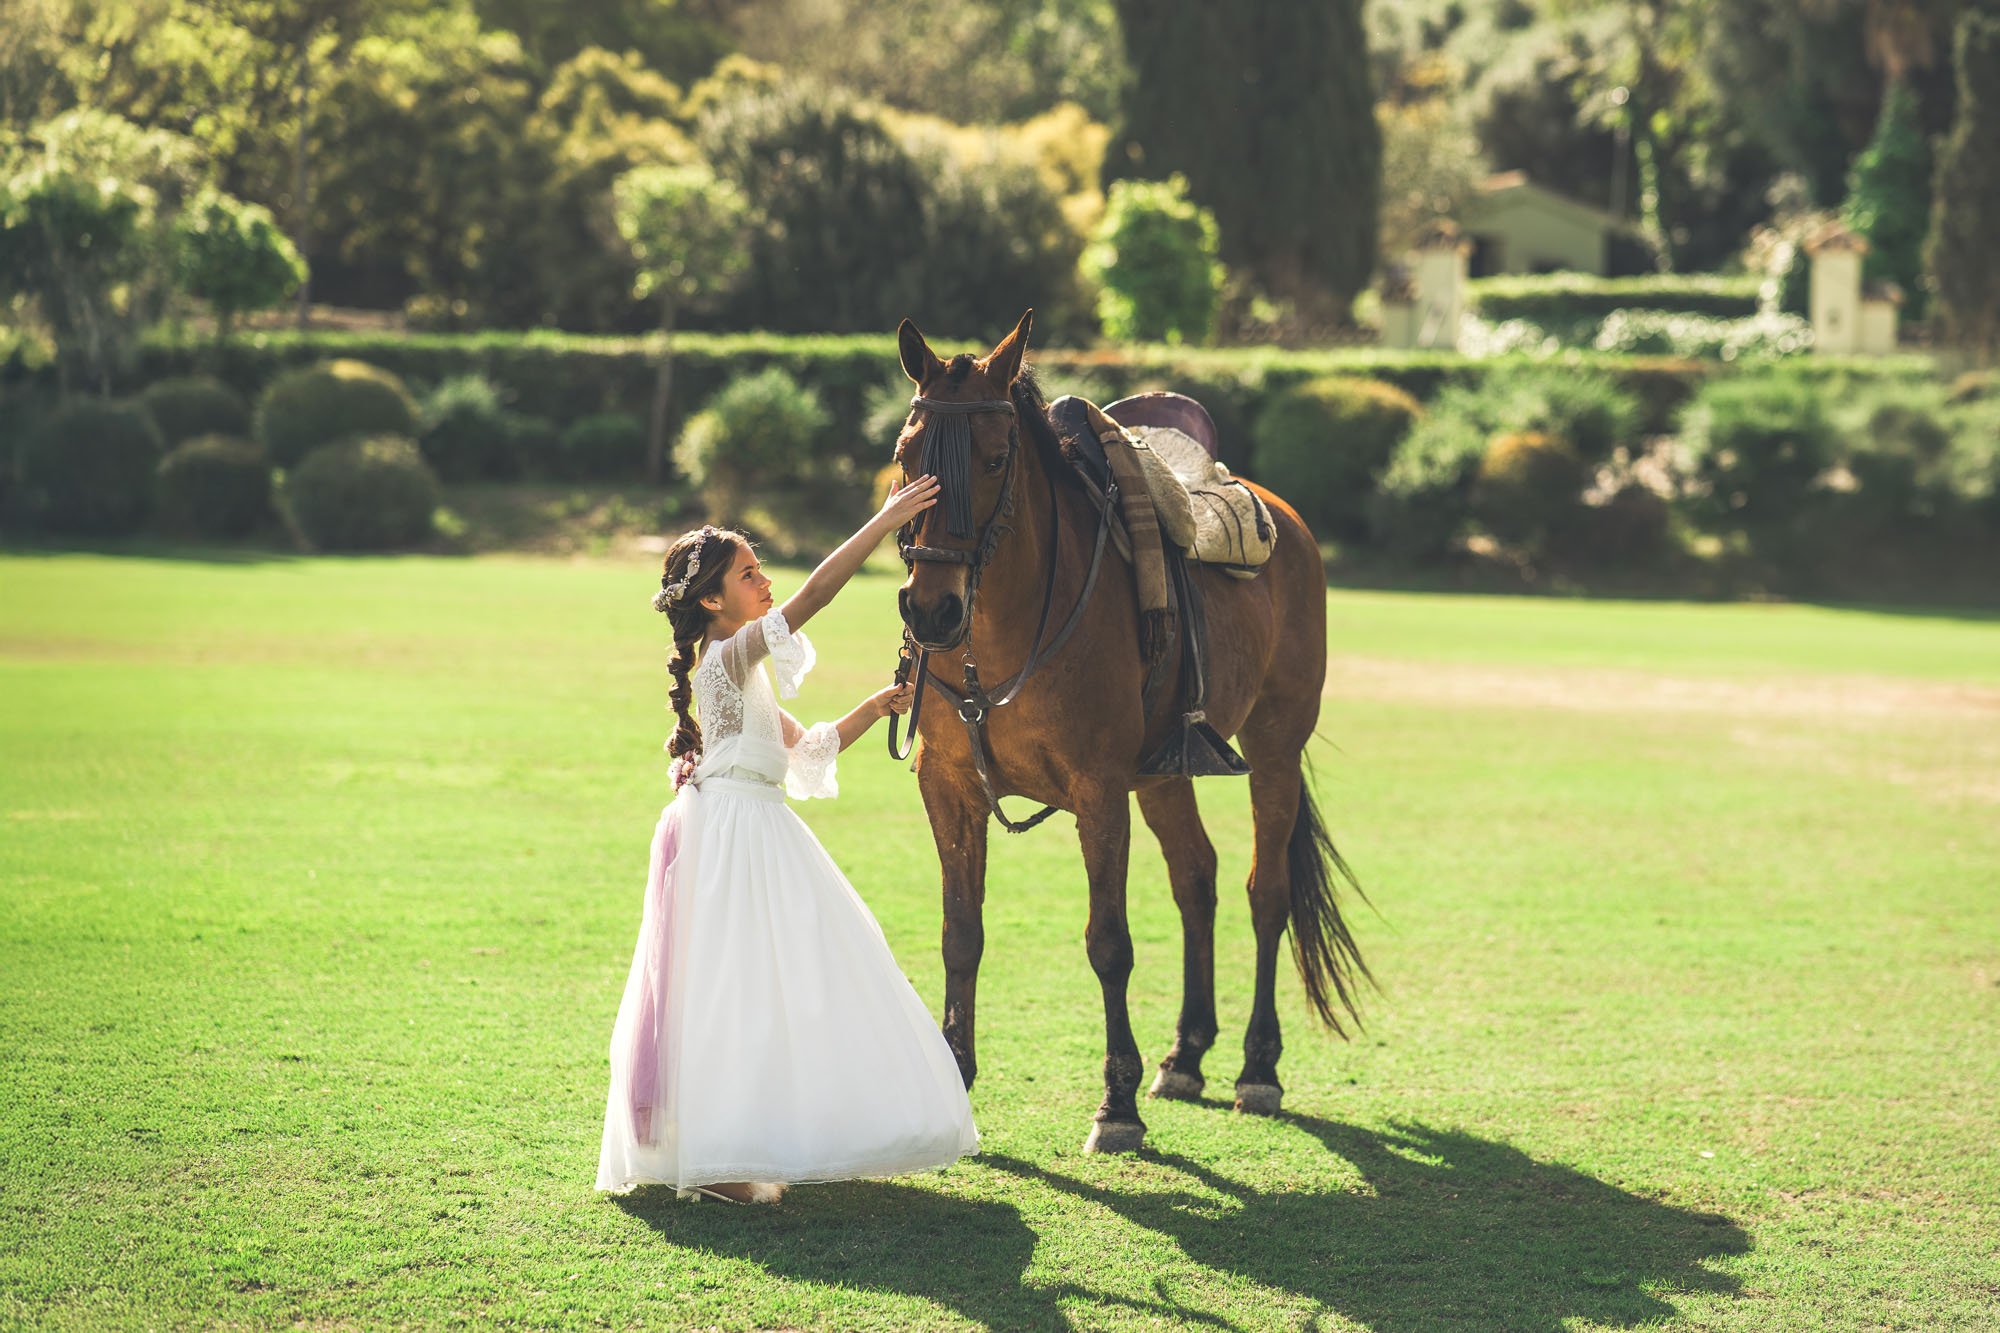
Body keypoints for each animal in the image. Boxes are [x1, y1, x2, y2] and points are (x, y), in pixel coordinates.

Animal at [890, 310, 1371, 1153]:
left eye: (993, 458)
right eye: (905, 456)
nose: (930, 609)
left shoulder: (1100, 787)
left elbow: (1108, 942)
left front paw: (1115, 1104)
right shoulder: (948, 787)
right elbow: (960, 931)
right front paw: (958, 1073)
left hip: (1276, 749)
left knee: (1265, 892)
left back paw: (1258, 1065)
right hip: (1166, 772)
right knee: (1198, 878)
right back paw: (1186, 1053)